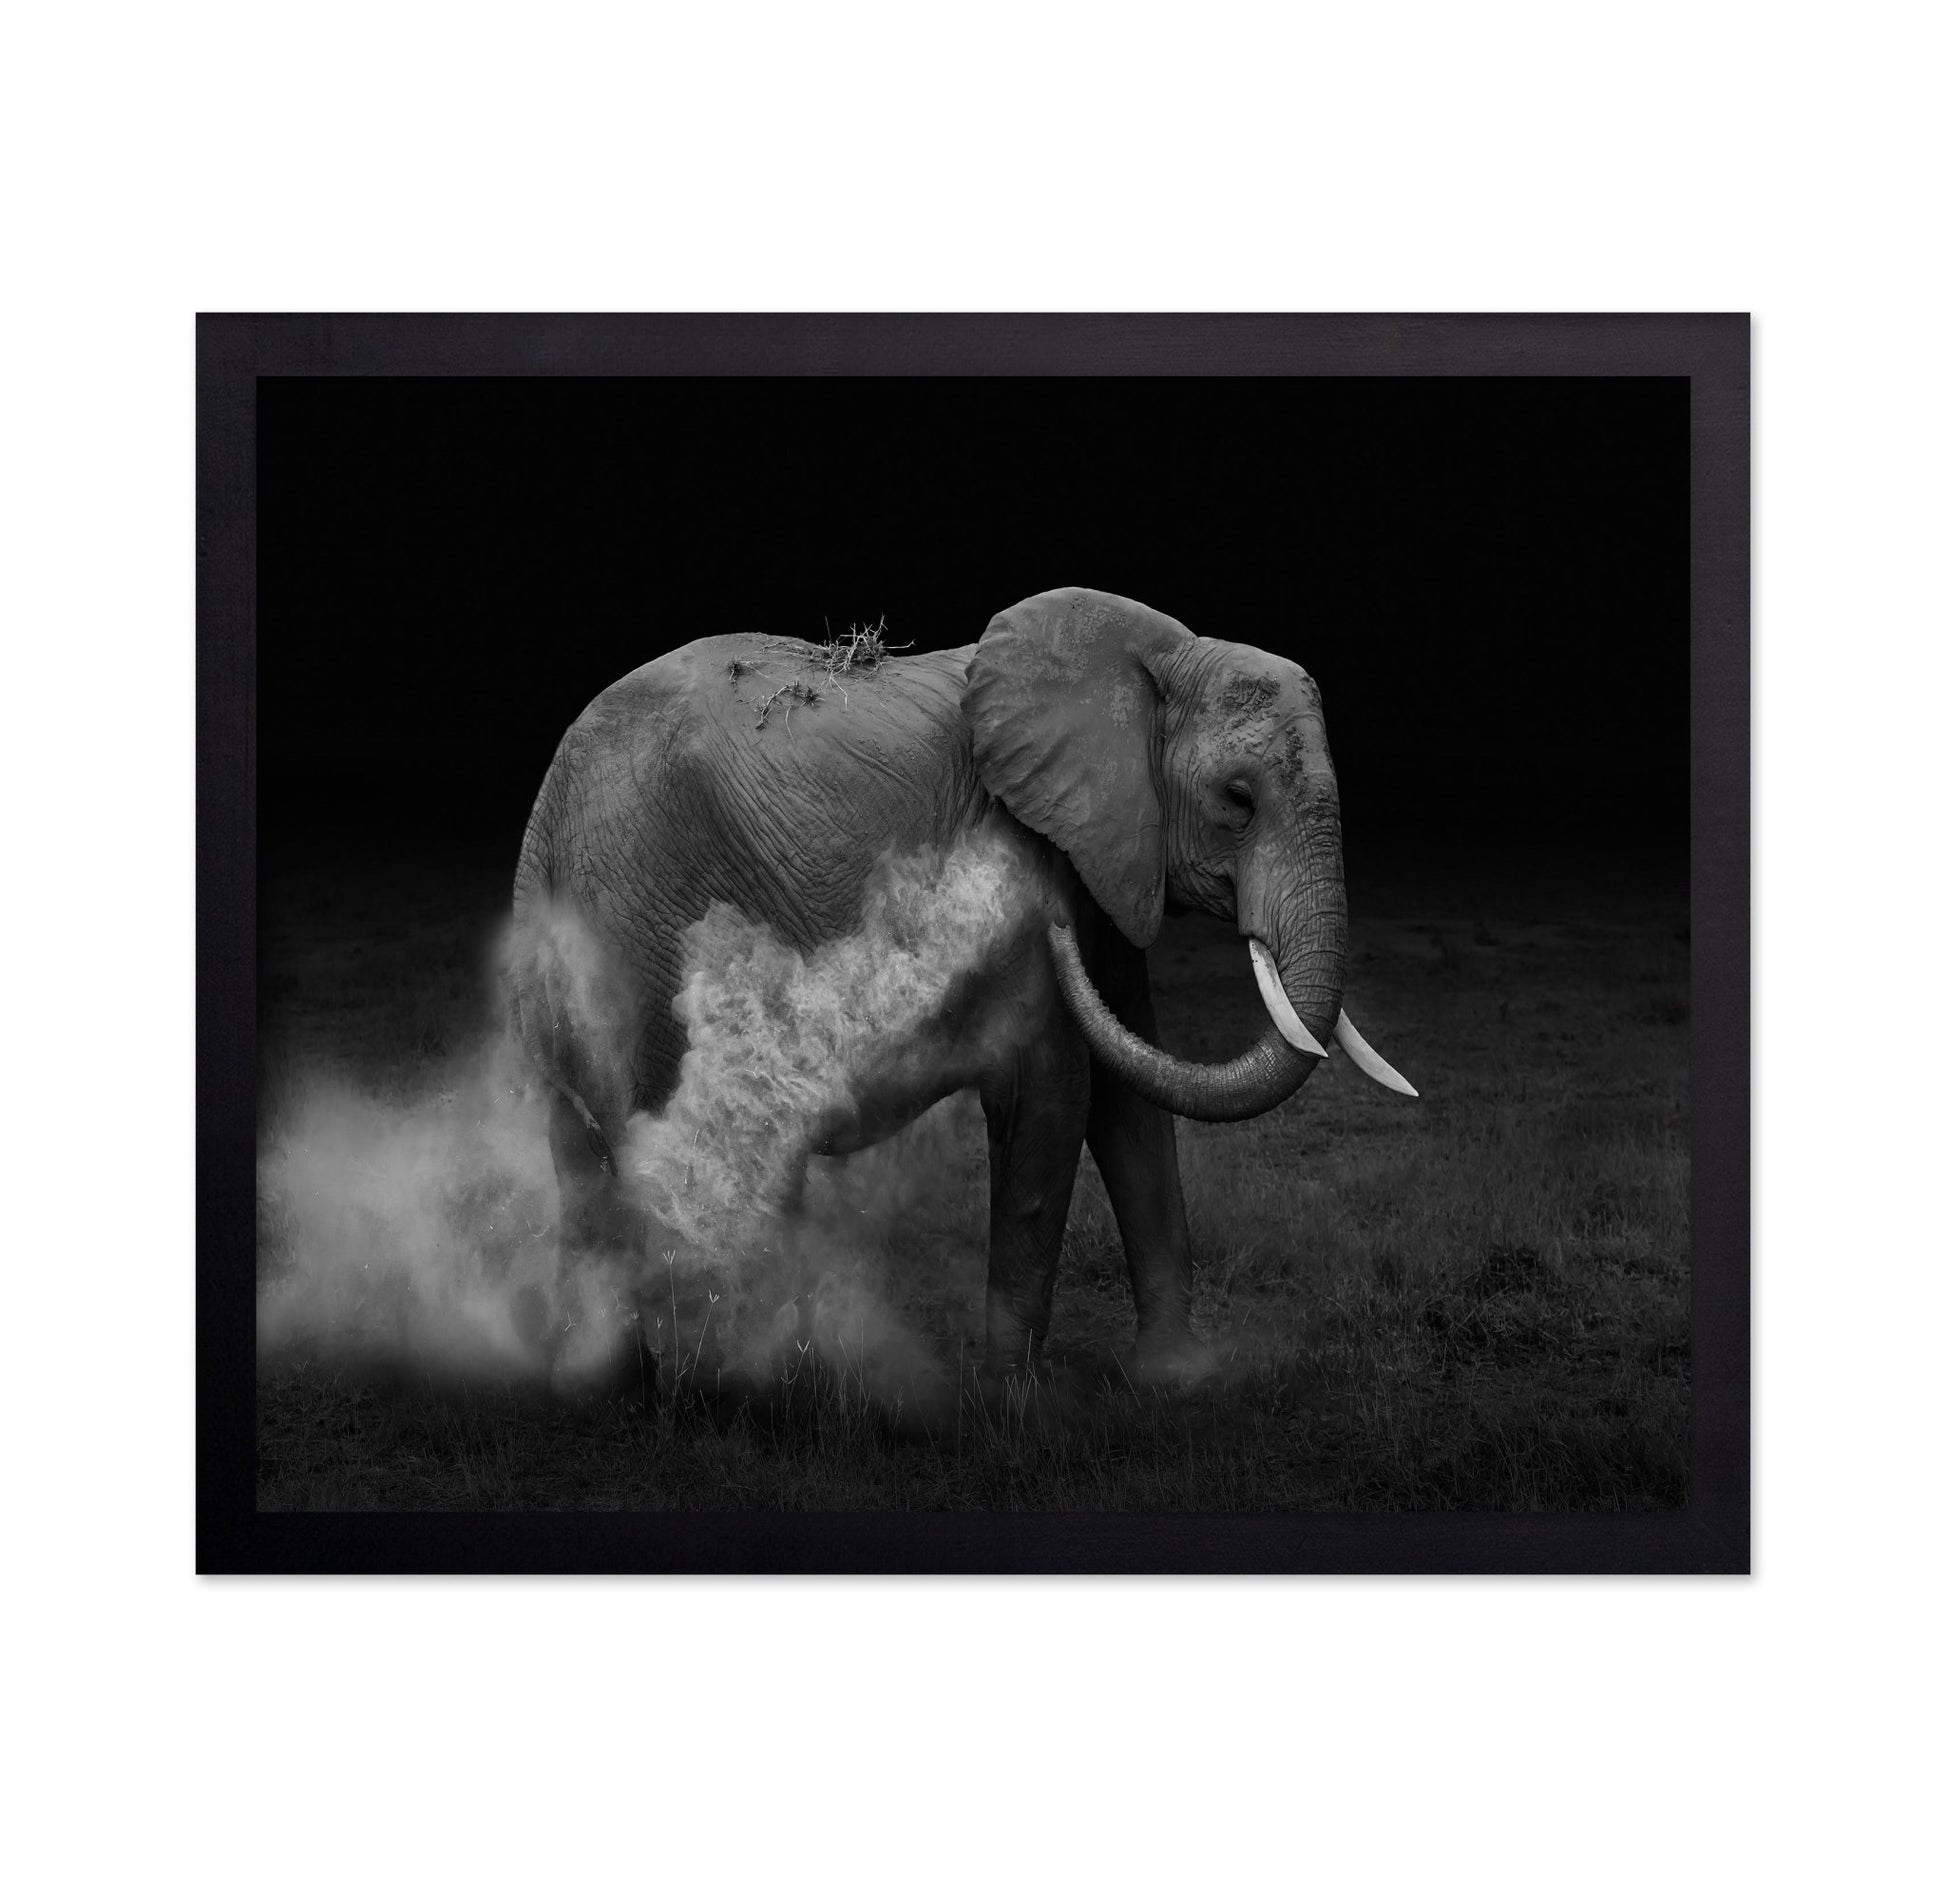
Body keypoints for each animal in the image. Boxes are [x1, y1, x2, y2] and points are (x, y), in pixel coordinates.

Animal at [506, 586, 1413, 1382]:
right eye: (1238, 800)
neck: (1158, 655)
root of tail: (552, 789)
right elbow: (1053, 1090)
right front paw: (1013, 1401)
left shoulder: (1108, 857)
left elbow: (1130, 1101)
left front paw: (1176, 1379)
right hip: (642, 925)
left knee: (588, 1153)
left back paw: (626, 1384)